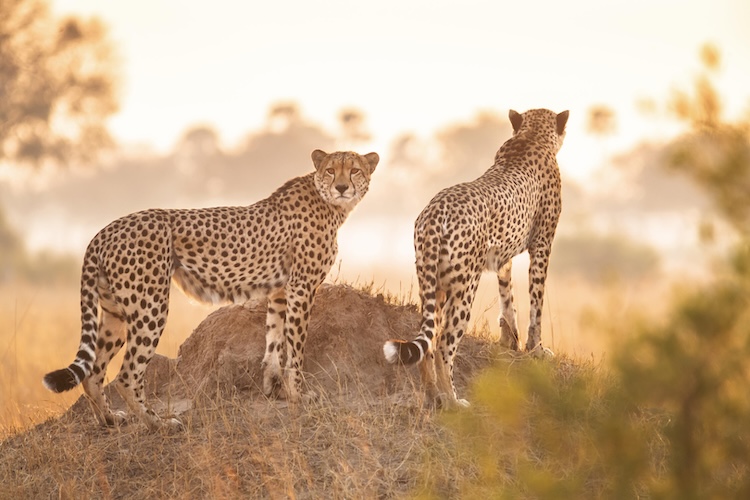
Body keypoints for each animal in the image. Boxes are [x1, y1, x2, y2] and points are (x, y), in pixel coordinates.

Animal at [43, 149, 379, 430]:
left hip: (115, 311)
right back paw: (158, 423)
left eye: (355, 170)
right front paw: (298, 395)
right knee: (127, 376)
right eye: (331, 170)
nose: (342, 187)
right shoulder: (301, 287)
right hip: (150, 306)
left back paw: (109, 419)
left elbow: (274, 341)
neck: (329, 203)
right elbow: (295, 346)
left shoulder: (280, 292)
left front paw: (275, 389)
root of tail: (104, 231)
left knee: (93, 372)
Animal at [383, 108, 569, 408]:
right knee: (444, 342)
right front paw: (537, 349)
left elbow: (508, 297)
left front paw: (509, 340)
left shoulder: (502, 257)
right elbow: (536, 305)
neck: (531, 137)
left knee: (428, 338)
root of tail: (435, 209)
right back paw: (453, 401)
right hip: (464, 286)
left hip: (432, 284)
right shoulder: (542, 246)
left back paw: (432, 395)